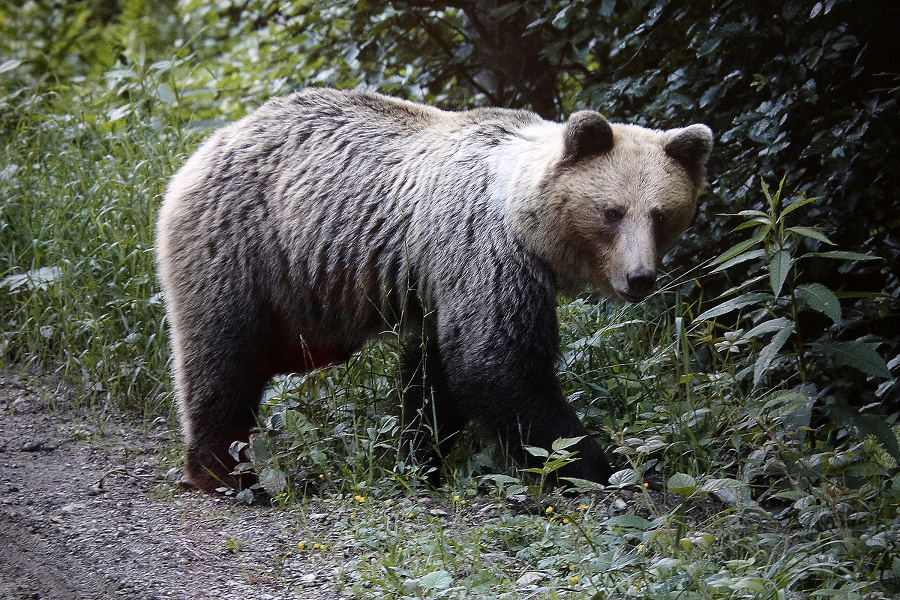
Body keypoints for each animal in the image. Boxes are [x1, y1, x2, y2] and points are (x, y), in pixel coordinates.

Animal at [156, 88, 716, 492]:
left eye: (662, 214)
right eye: (611, 212)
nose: (640, 277)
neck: (525, 221)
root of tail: (207, 146)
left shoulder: (438, 283)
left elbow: (434, 376)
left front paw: (420, 459)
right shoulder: (485, 252)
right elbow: (498, 365)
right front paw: (604, 469)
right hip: (241, 247)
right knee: (222, 359)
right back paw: (225, 473)